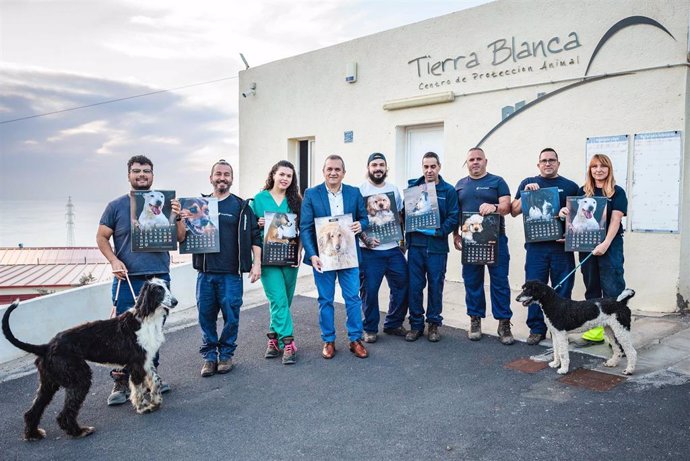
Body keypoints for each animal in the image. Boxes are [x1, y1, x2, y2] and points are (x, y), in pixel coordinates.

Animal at [3, 278, 175, 440]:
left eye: (167, 286)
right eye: (158, 290)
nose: (175, 302)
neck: (147, 317)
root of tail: (47, 346)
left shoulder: (146, 361)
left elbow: (156, 380)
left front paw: (155, 401)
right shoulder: (137, 363)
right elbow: (138, 389)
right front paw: (143, 407)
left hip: (49, 382)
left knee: (32, 411)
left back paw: (33, 434)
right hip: (80, 377)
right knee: (63, 414)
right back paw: (79, 431)